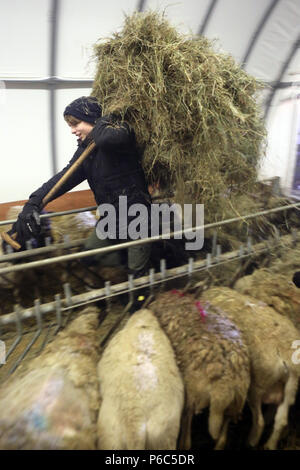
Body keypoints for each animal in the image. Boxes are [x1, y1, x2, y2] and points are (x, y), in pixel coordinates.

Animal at [200, 288, 300, 450]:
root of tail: (284, 353)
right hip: (291, 387)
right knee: (281, 420)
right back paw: (270, 445)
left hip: (257, 387)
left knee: (259, 422)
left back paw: (251, 442)